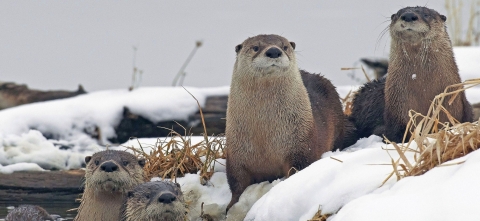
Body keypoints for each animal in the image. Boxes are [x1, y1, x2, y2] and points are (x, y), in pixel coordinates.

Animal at [225, 34, 344, 211]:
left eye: (285, 46)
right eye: (255, 47)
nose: (274, 51)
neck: (265, 136)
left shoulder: (301, 145)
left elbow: (299, 168)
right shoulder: (236, 154)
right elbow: (236, 181)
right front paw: (232, 206)